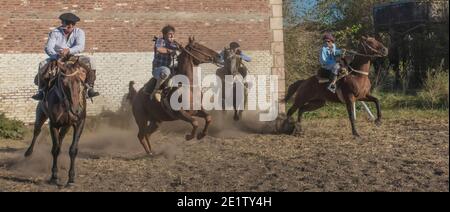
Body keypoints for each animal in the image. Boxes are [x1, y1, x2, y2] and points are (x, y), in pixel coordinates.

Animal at [23, 56, 89, 186]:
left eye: (79, 81)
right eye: (64, 83)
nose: (76, 109)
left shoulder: (79, 123)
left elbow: (73, 150)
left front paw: (71, 178)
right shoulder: (53, 124)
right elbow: (55, 150)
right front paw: (54, 176)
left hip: (66, 126)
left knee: (61, 137)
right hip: (41, 115)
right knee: (37, 132)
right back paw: (28, 152)